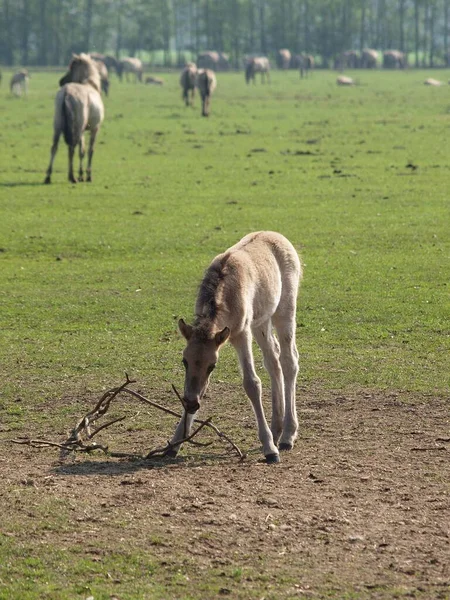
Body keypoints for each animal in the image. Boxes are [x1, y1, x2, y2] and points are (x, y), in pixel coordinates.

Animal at [44, 54, 103, 185]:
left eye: (71, 68)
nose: (61, 81)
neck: (90, 84)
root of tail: (66, 93)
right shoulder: (94, 129)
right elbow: (90, 150)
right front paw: (87, 176)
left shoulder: (83, 132)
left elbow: (82, 151)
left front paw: (81, 175)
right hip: (77, 127)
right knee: (71, 148)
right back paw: (72, 177)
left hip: (58, 125)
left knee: (54, 147)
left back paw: (48, 176)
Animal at [171, 231, 300, 464]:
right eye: (184, 361)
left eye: (212, 366)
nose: (192, 404)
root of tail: (277, 235)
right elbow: (200, 387)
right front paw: (175, 443)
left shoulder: (241, 334)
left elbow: (252, 383)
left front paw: (269, 449)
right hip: (261, 322)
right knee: (273, 360)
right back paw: (276, 429)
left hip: (284, 311)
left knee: (289, 361)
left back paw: (286, 436)